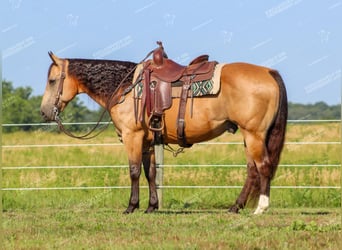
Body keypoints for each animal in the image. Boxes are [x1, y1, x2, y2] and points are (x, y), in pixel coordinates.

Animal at [40, 43, 286, 215]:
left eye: (52, 80)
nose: (44, 112)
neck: (125, 87)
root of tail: (269, 71)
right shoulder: (147, 141)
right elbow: (150, 172)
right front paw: (151, 206)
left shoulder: (132, 136)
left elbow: (134, 171)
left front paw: (131, 206)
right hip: (249, 136)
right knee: (252, 170)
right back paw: (236, 207)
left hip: (254, 135)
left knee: (263, 166)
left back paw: (260, 208)